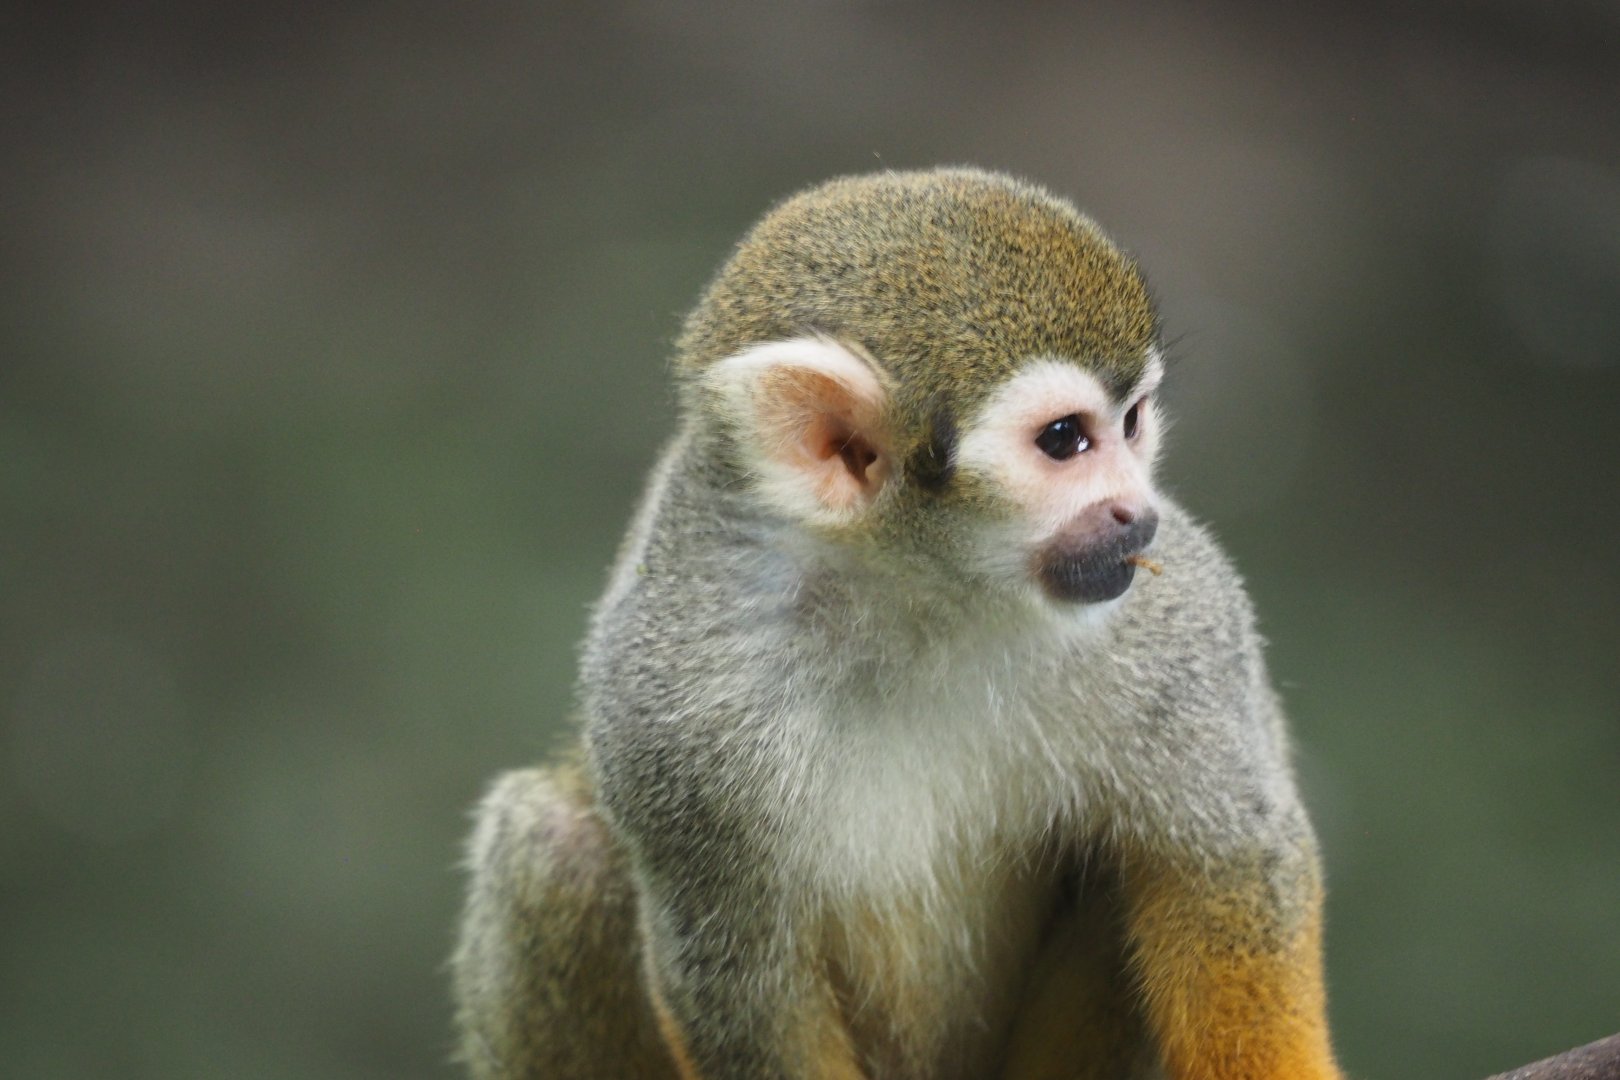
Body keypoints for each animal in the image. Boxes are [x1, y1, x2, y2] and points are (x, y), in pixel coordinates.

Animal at [451, 167, 1342, 1080]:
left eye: (1133, 423)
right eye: (1066, 440)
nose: (1141, 516)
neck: (922, 600)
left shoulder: (1177, 621)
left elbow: (1224, 863)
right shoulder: (669, 708)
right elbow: (740, 987)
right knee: (552, 849)